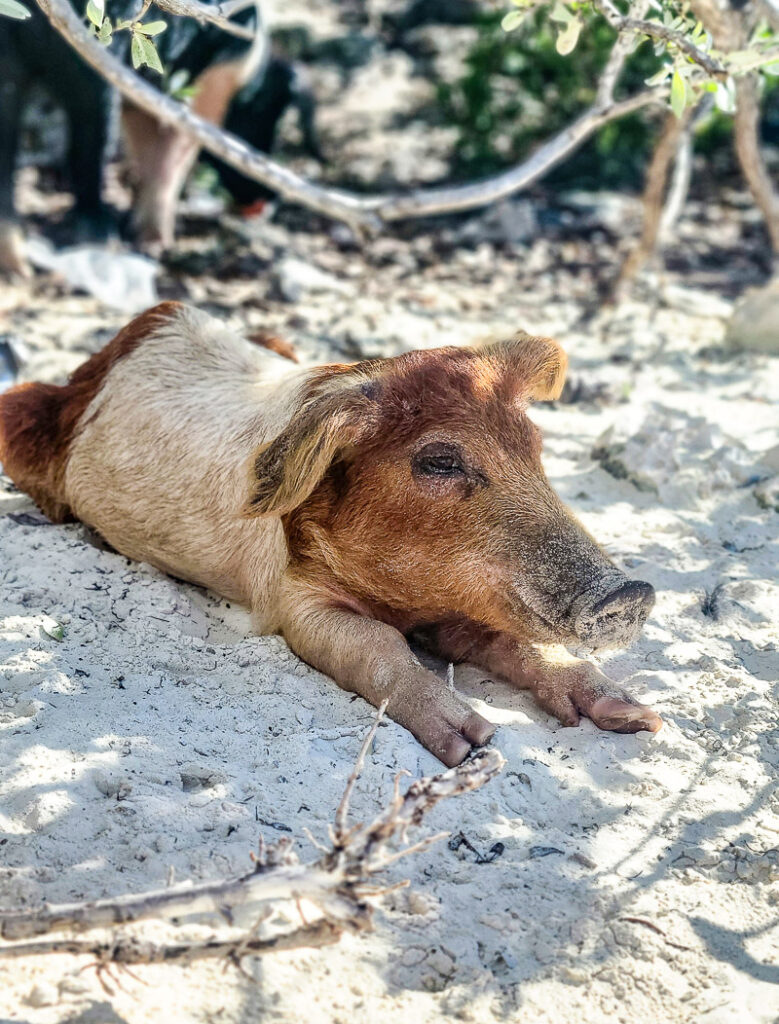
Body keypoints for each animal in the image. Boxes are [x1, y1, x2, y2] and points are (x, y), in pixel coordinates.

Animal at [0, 299, 663, 765]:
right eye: (439, 461)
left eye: (535, 448)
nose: (631, 593)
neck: (410, 601)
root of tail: (115, 346)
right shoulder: (294, 602)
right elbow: (375, 645)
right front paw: (474, 743)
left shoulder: (472, 602)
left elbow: (520, 641)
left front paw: (640, 717)